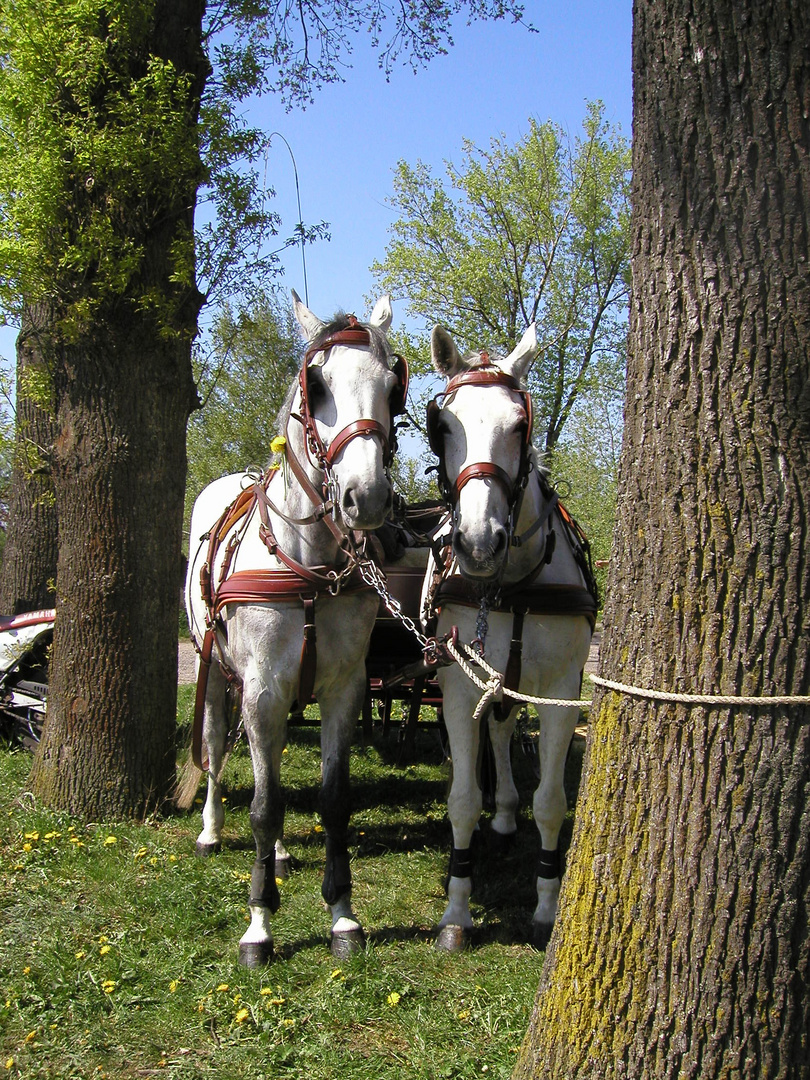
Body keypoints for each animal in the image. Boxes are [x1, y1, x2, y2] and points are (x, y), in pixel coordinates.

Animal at [186, 291, 408, 967]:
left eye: (393, 386)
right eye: (319, 385)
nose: (367, 497)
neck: (308, 567)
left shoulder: (342, 689)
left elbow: (331, 801)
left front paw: (342, 915)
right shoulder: (259, 690)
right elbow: (263, 805)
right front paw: (259, 923)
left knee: (276, 762)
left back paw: (283, 853)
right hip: (218, 673)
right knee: (217, 749)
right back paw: (211, 829)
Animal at [425, 324, 596, 950]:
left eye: (520, 425)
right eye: (442, 426)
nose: (478, 544)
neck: (514, 582)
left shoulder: (561, 690)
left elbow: (550, 802)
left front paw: (546, 904)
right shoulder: (456, 685)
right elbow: (461, 799)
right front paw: (457, 910)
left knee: (501, 732)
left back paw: (504, 818)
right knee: (493, 737)